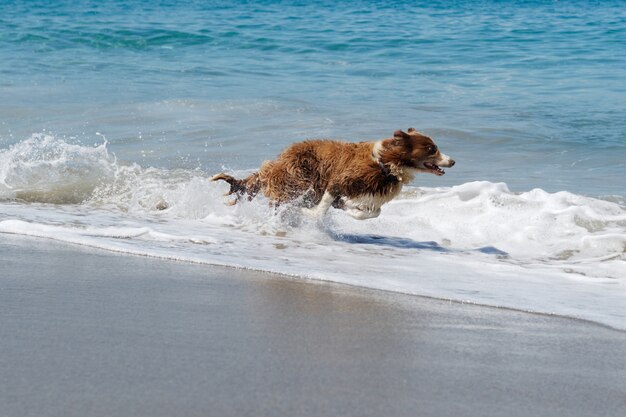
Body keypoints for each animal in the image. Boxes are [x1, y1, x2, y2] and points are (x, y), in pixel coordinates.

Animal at [211, 127, 454, 219]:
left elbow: (372, 212)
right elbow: (323, 206)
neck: (386, 164)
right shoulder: (339, 180)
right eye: (431, 149)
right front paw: (309, 212)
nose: (452, 161)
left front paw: (353, 208)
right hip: (299, 176)